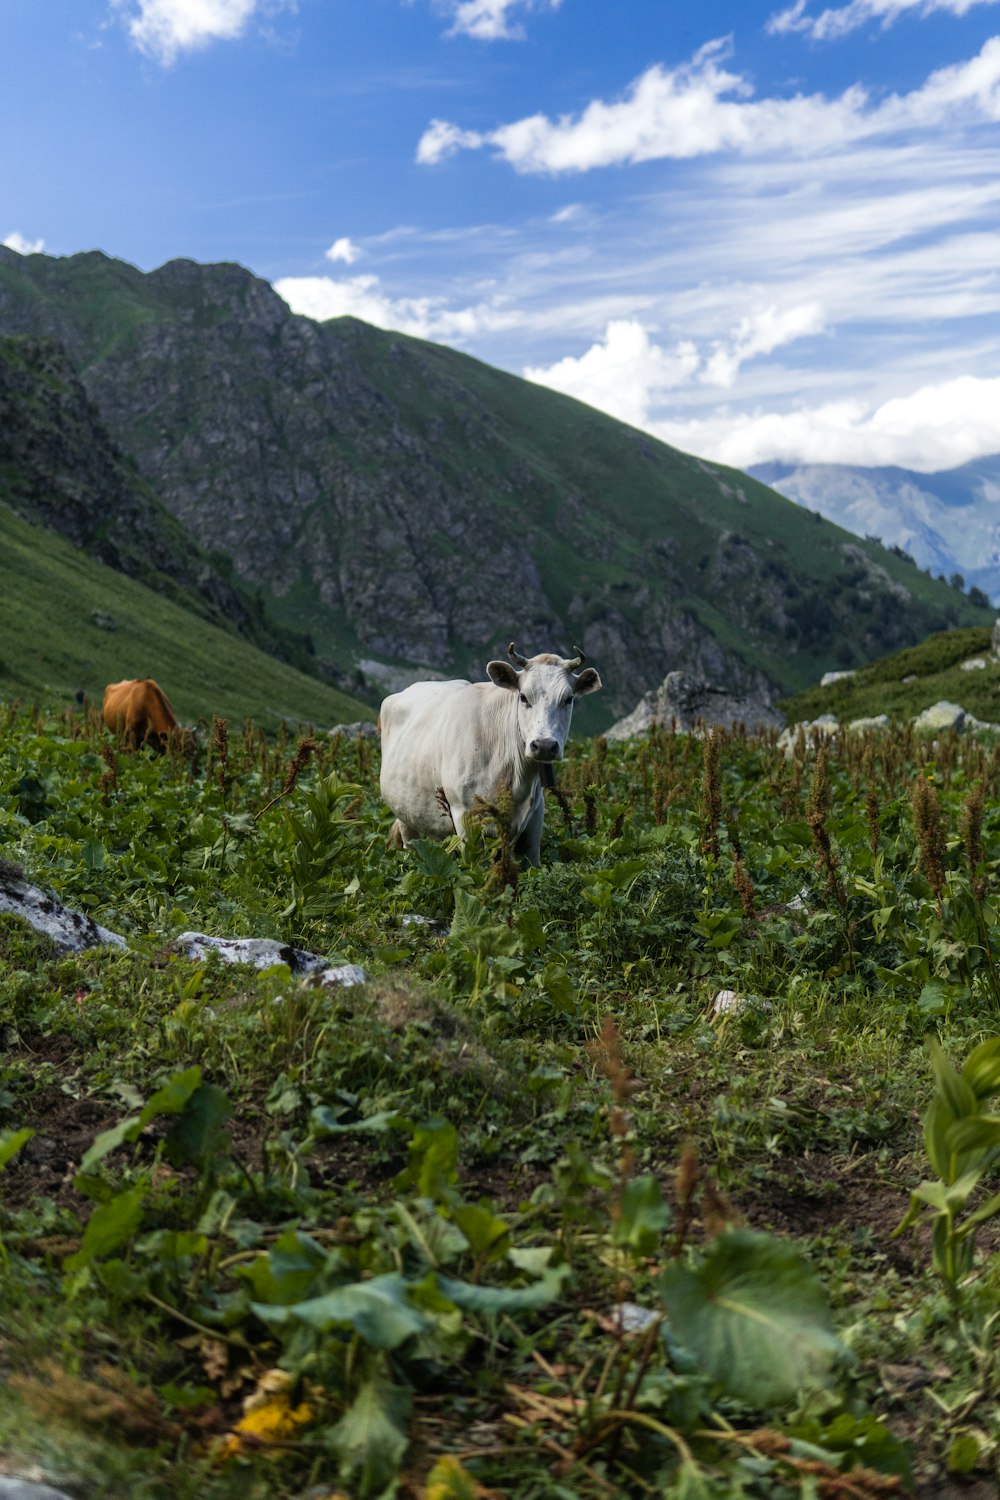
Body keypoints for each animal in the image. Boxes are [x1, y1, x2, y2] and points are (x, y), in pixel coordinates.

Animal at [379, 645, 602, 870]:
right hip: (405, 817)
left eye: (568, 699)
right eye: (523, 696)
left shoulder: (535, 816)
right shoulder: (464, 816)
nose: (544, 745)